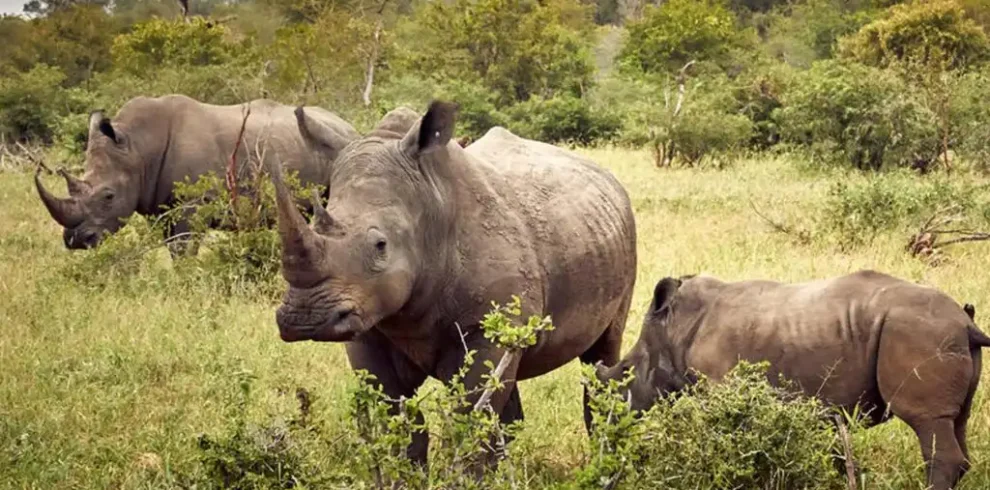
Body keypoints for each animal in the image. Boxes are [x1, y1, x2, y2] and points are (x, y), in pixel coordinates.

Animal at [35, 94, 359, 254]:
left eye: (108, 196)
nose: (77, 242)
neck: (138, 149)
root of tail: (347, 124)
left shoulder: (191, 205)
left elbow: (183, 248)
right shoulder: (159, 203)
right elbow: (173, 248)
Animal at [269, 101, 638, 464]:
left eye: (380, 245)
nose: (304, 318)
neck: (429, 209)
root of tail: (607, 176)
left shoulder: (484, 326)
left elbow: (469, 418)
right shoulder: (367, 326)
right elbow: (397, 418)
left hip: (623, 233)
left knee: (601, 355)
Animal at [595, 270, 990, 490]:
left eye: (627, 371)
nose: (606, 431)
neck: (673, 328)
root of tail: (966, 324)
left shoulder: (719, 387)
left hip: (920, 332)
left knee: (928, 423)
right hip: (941, 336)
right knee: (957, 421)